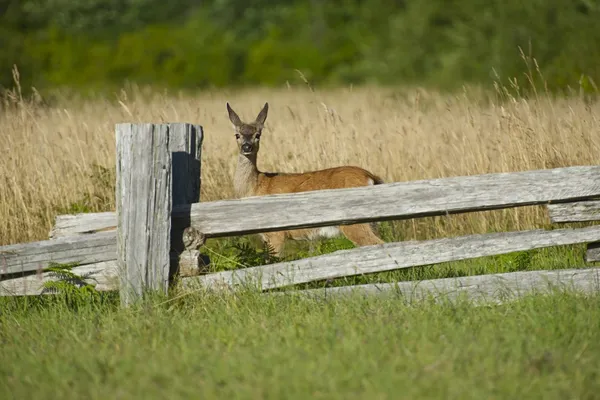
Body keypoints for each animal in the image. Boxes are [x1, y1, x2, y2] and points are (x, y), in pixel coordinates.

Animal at [225, 100, 384, 256]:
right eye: (237, 135)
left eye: (257, 135)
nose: (247, 147)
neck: (256, 186)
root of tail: (371, 177)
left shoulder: (277, 234)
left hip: (355, 223)